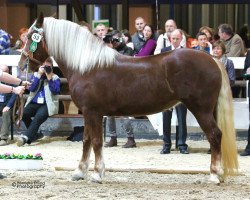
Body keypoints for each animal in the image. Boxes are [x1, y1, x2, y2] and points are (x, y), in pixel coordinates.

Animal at [18, 13, 238, 184]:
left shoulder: (92, 112)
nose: (21, 64)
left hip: (200, 109)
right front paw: (79, 172)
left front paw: (97, 174)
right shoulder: (89, 114)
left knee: (215, 136)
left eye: (30, 37)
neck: (87, 66)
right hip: (210, 110)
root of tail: (212, 59)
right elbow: (87, 140)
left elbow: (96, 141)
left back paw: (214, 175)